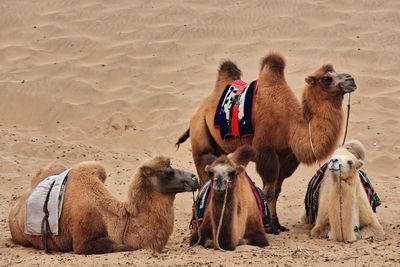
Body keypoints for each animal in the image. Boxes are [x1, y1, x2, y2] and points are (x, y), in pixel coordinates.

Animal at [177, 52, 358, 234]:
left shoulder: (287, 157)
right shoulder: (267, 152)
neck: (291, 123)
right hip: (200, 134)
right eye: (327, 78)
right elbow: (268, 191)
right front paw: (269, 226)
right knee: (203, 177)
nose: (351, 79)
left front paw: (277, 223)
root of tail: (199, 110)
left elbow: (277, 191)